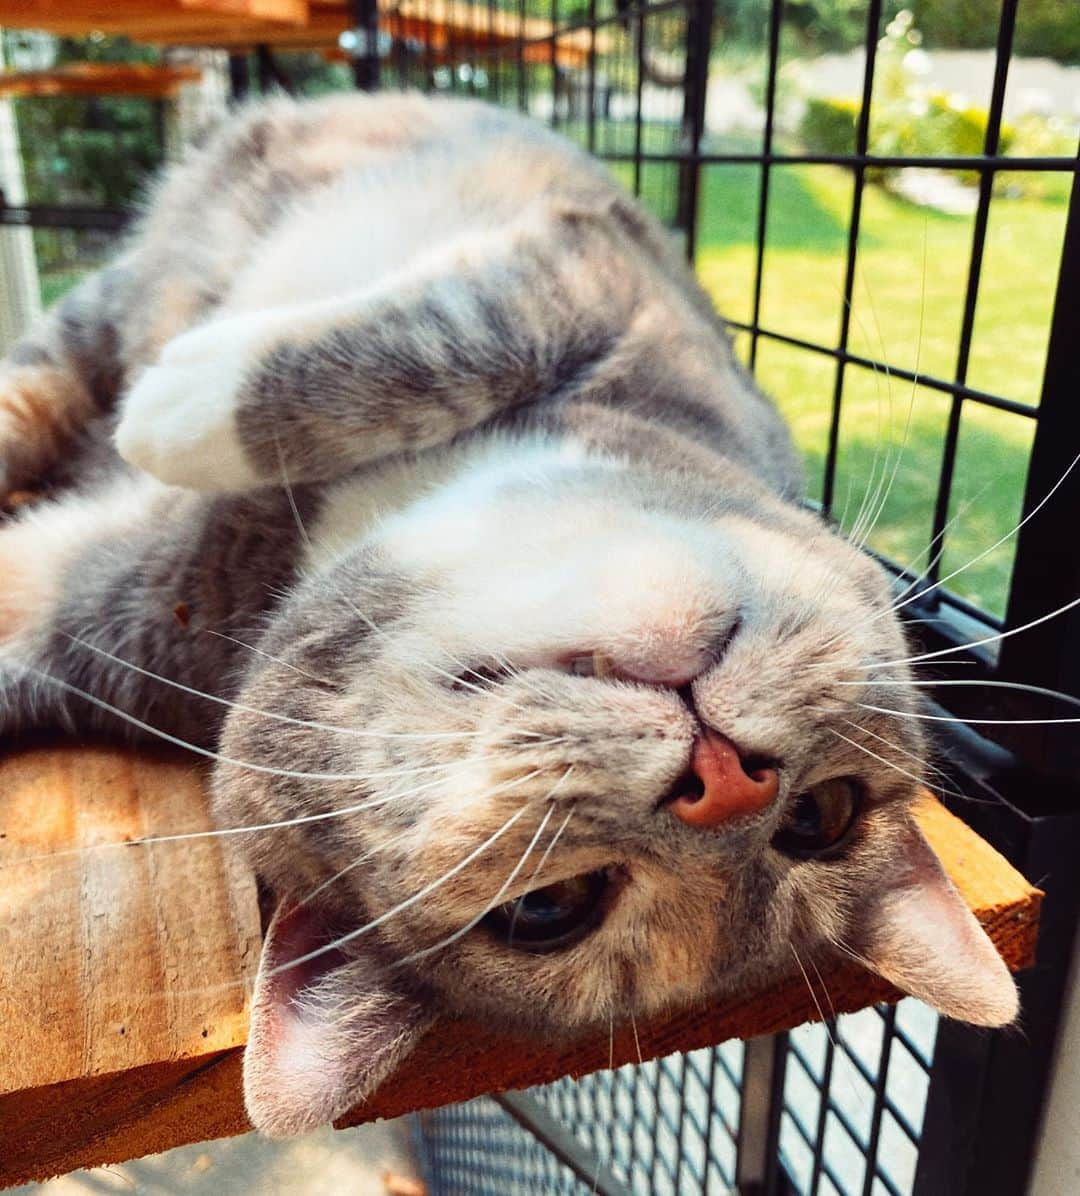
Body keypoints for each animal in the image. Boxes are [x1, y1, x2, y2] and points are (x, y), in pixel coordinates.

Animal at [0, 93, 1023, 1138]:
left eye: (548, 910)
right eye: (826, 815)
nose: (727, 780)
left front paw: (170, 406)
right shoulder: (604, 271)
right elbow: (462, 342)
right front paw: (179, 399)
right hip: (107, 307)